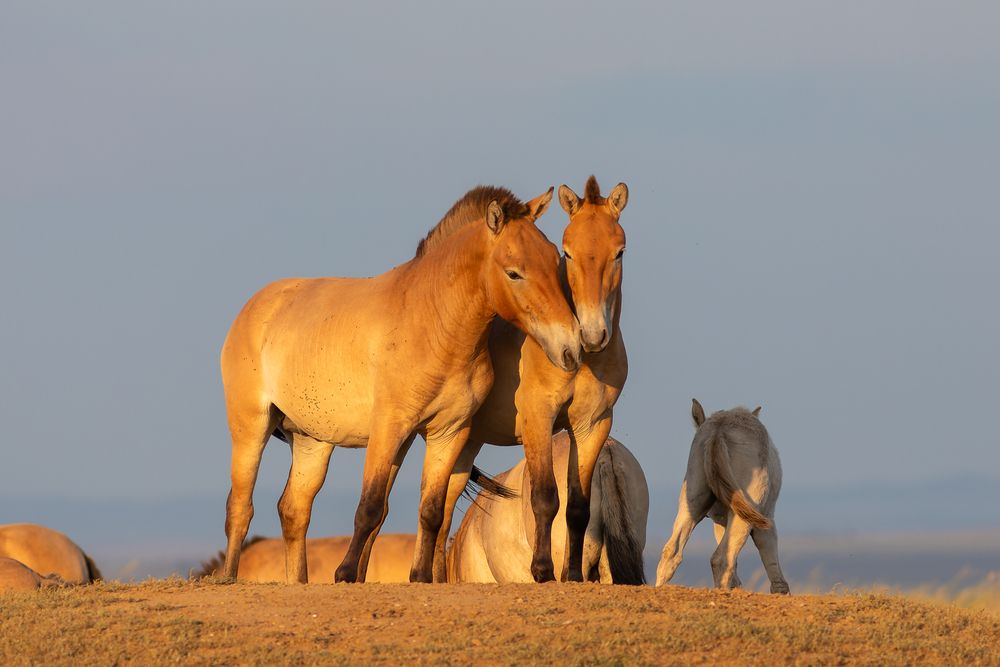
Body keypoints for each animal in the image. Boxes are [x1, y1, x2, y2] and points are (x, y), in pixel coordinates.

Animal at [220, 185, 581, 584]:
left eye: (554, 259)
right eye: (514, 273)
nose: (571, 347)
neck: (431, 323)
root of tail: (255, 306)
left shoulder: (449, 432)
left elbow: (431, 510)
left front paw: (420, 577)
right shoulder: (389, 428)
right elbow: (370, 506)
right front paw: (345, 574)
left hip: (312, 440)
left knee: (294, 509)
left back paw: (298, 581)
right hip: (251, 427)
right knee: (240, 506)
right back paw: (228, 577)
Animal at [431, 176, 629, 582]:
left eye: (619, 251)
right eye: (568, 252)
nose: (591, 335)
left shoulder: (592, 426)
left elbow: (578, 506)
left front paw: (571, 575)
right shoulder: (539, 418)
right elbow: (545, 497)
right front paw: (542, 570)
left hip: (465, 443)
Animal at [655, 400, 790, 594]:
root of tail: (718, 431)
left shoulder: (719, 521)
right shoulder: (766, 517)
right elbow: (773, 569)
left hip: (694, 497)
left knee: (671, 551)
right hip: (748, 508)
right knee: (721, 559)